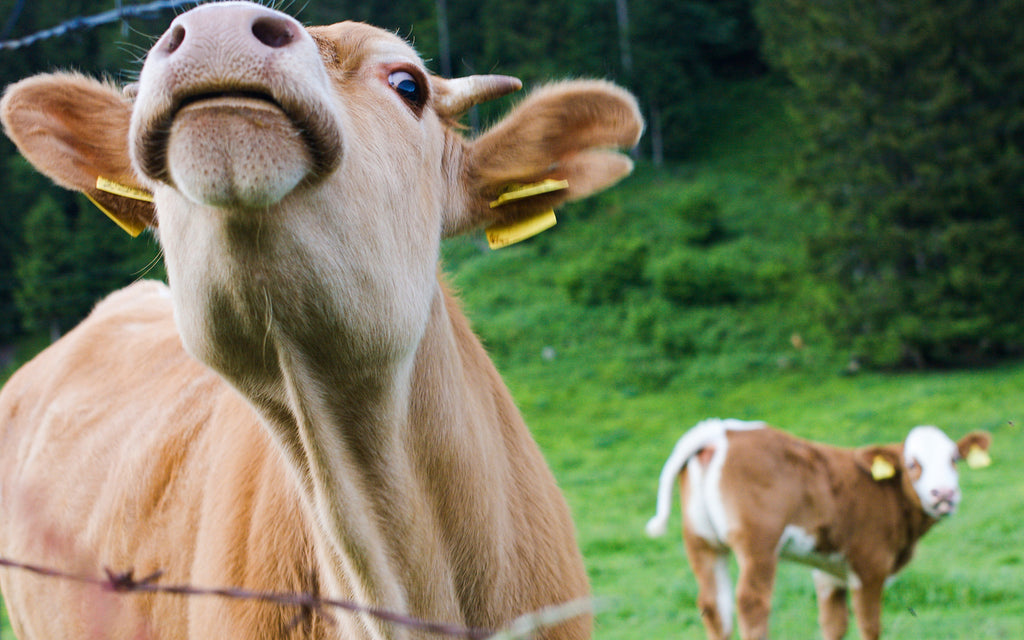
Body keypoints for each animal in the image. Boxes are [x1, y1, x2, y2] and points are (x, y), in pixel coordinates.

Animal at [647, 417, 991, 638]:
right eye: (912, 463)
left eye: (955, 459)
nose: (944, 494)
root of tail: (721, 431)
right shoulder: (870, 566)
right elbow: (869, 625)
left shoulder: (828, 571)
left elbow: (834, 624)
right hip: (759, 544)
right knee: (751, 602)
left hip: (701, 542)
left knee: (713, 606)